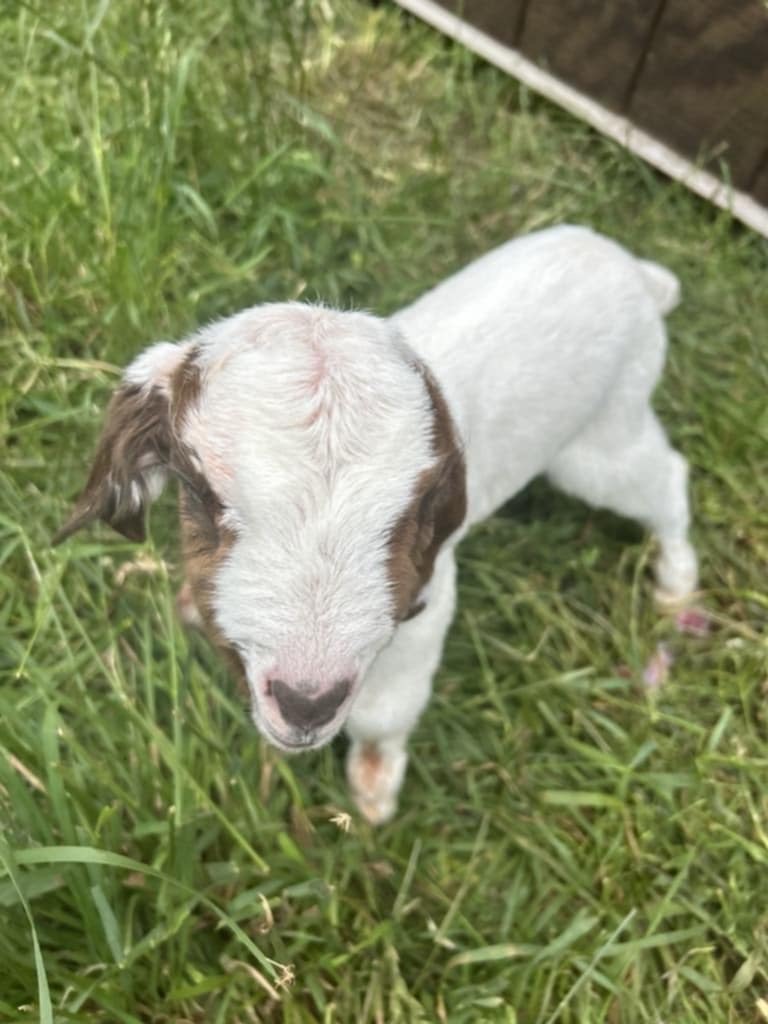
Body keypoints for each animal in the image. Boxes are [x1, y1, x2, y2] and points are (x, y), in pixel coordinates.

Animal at [57, 226, 700, 823]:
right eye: (200, 490)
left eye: (414, 509)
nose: (306, 704)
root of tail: (633, 273)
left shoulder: (425, 600)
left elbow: (385, 707)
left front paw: (374, 782)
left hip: (605, 436)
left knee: (664, 478)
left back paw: (676, 584)